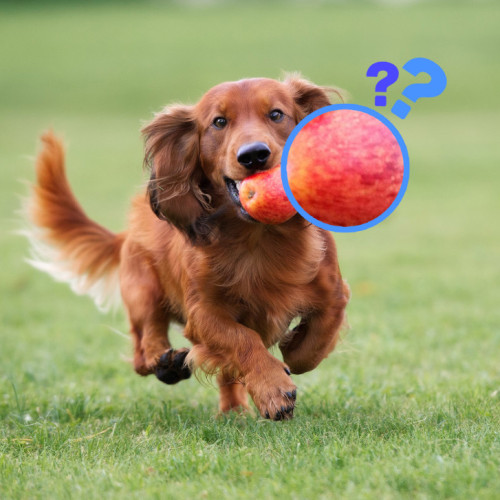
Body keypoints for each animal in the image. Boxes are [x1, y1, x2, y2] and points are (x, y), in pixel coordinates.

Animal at [25, 74, 350, 420]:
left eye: (276, 114)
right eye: (219, 122)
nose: (253, 155)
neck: (259, 239)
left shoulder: (333, 292)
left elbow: (315, 342)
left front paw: (291, 351)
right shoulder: (203, 313)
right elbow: (243, 340)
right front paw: (274, 388)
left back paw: (233, 410)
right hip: (143, 289)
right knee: (144, 347)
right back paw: (166, 363)